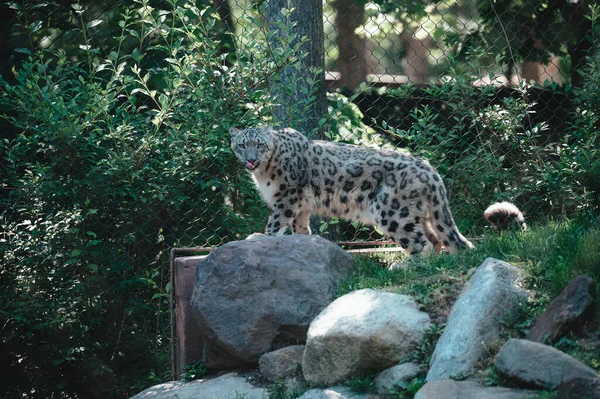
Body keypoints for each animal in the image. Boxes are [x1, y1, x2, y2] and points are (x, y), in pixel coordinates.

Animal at [230, 126, 474, 255]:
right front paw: (302, 241)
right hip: (416, 213)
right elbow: (300, 226)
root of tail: (430, 169)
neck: (263, 173)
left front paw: (262, 237)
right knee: (435, 238)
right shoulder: (300, 205)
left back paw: (406, 267)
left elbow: (275, 221)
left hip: (391, 211)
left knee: (420, 242)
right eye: (241, 145)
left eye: (259, 144)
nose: (250, 159)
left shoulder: (287, 196)